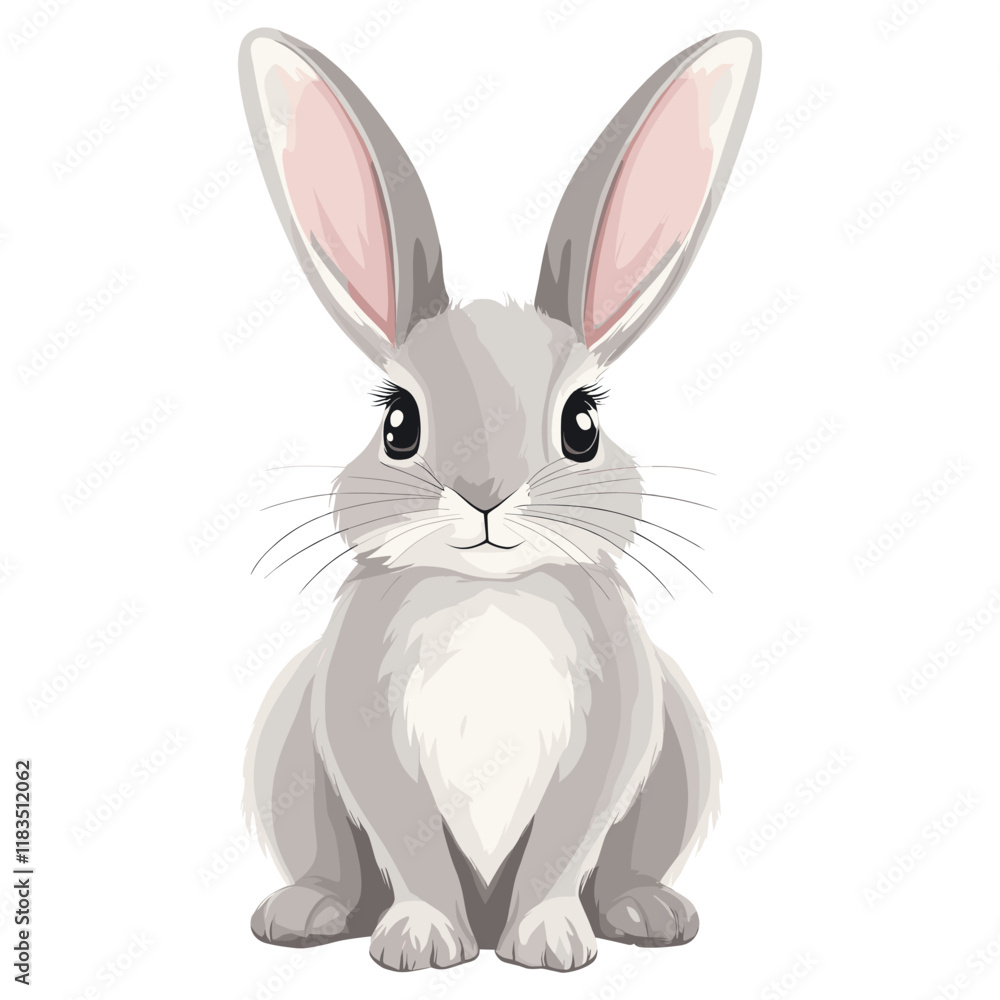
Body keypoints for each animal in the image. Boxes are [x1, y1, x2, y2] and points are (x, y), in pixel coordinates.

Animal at [238, 26, 761, 972]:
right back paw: (306, 912)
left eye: (582, 424)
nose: (484, 495)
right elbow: (411, 851)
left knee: (625, 868)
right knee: (333, 866)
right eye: (398, 423)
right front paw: (422, 944)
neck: (489, 597)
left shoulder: (607, 751)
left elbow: (561, 848)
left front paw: (548, 945)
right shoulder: (368, 746)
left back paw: (647, 914)